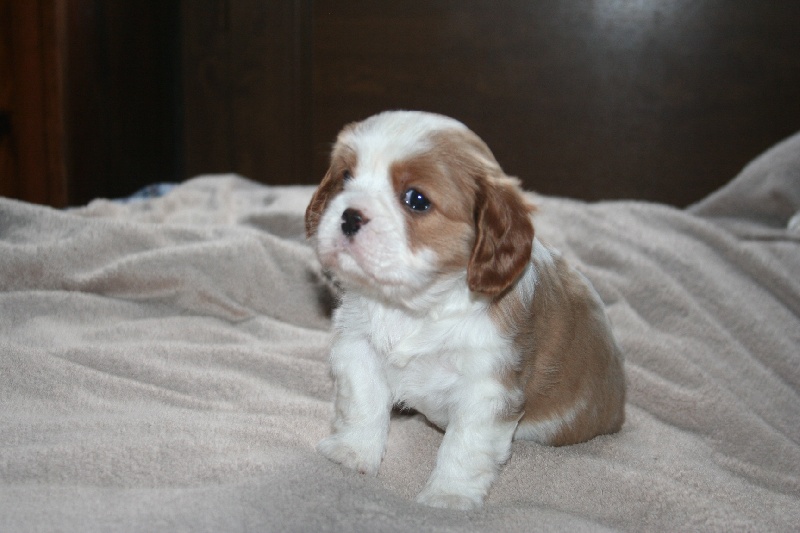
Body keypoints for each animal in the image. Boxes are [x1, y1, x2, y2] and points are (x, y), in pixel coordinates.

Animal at [306, 110, 624, 510]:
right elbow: (362, 403)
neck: (415, 306)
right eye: (346, 177)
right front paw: (352, 452)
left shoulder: (487, 387)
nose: (348, 216)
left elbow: (464, 446)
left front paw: (448, 495)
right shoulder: (358, 347)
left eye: (416, 199)